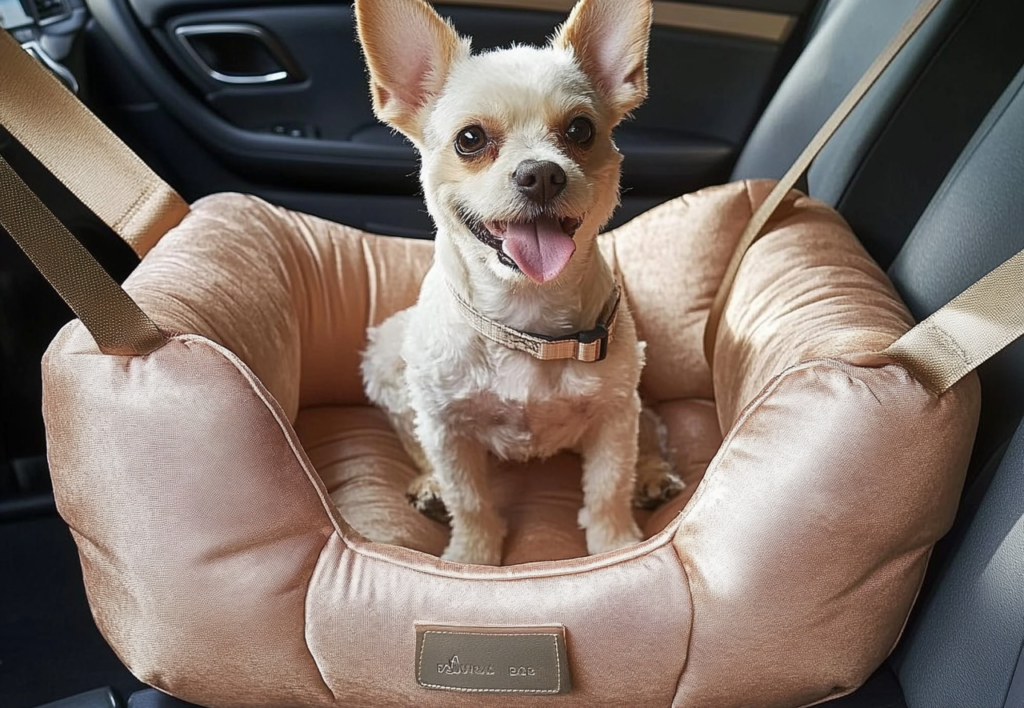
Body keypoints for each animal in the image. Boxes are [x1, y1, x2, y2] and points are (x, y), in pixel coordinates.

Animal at [356, 0, 667, 569]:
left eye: (581, 130)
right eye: (470, 139)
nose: (542, 173)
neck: (527, 319)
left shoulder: (614, 415)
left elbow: (608, 486)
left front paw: (617, 547)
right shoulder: (445, 428)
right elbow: (469, 498)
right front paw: (471, 557)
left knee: (650, 434)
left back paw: (653, 476)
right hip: (387, 359)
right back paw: (429, 485)